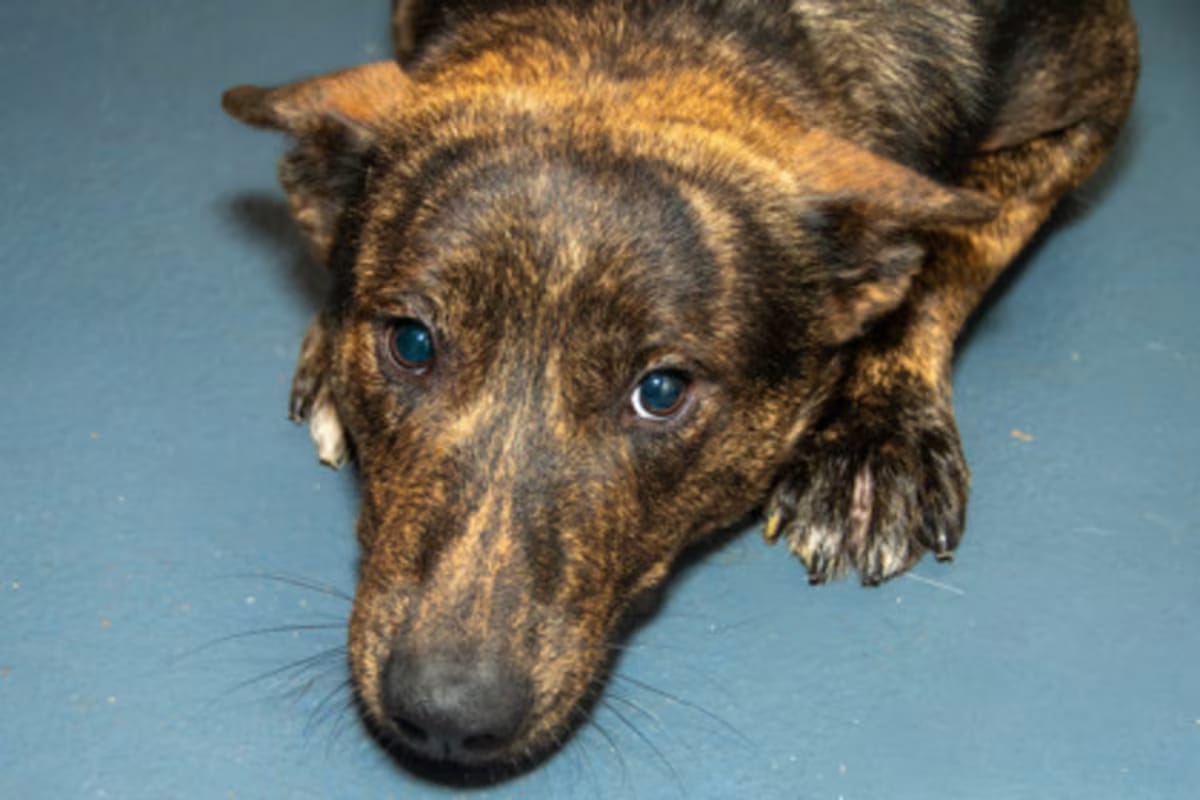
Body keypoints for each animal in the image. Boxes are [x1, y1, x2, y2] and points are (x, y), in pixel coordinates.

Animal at [222, 0, 1137, 772]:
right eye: (411, 344)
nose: (446, 716)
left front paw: (880, 434)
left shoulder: (1098, 89)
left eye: (660, 392)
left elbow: (956, 246)